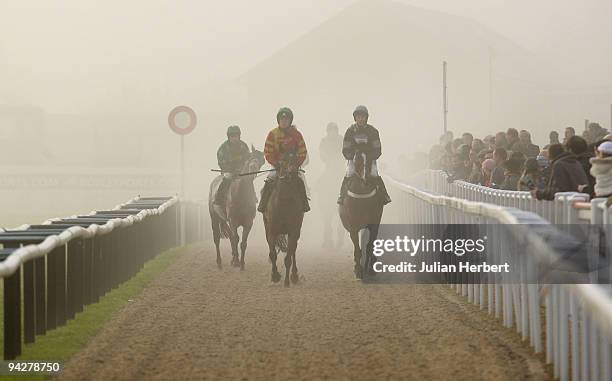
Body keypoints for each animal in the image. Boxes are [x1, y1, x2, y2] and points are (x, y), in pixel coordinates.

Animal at [338, 151, 384, 280]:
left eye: (369, 158)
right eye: (357, 160)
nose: (365, 179)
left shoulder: (374, 223)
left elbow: (369, 246)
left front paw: (369, 269)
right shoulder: (353, 226)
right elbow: (357, 249)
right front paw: (358, 271)